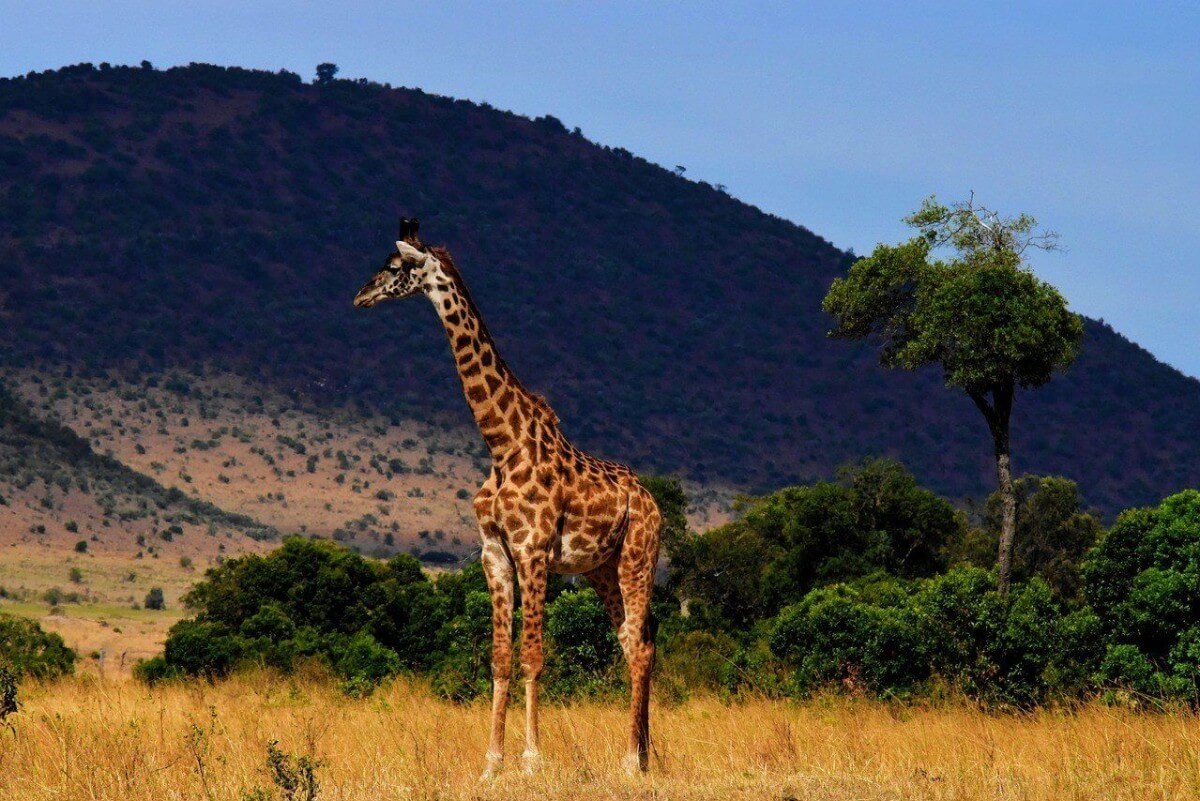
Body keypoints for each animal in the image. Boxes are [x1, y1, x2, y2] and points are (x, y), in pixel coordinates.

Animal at [350, 217, 667, 777]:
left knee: (641, 646)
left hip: (638, 557)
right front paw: (492, 762)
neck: (502, 442)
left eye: (394, 266)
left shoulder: (533, 549)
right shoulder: (494, 553)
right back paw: (642, 756)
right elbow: (499, 657)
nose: (359, 296)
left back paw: (632, 760)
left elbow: (533, 656)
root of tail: (654, 504)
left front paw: (532, 759)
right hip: (601, 569)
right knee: (635, 641)